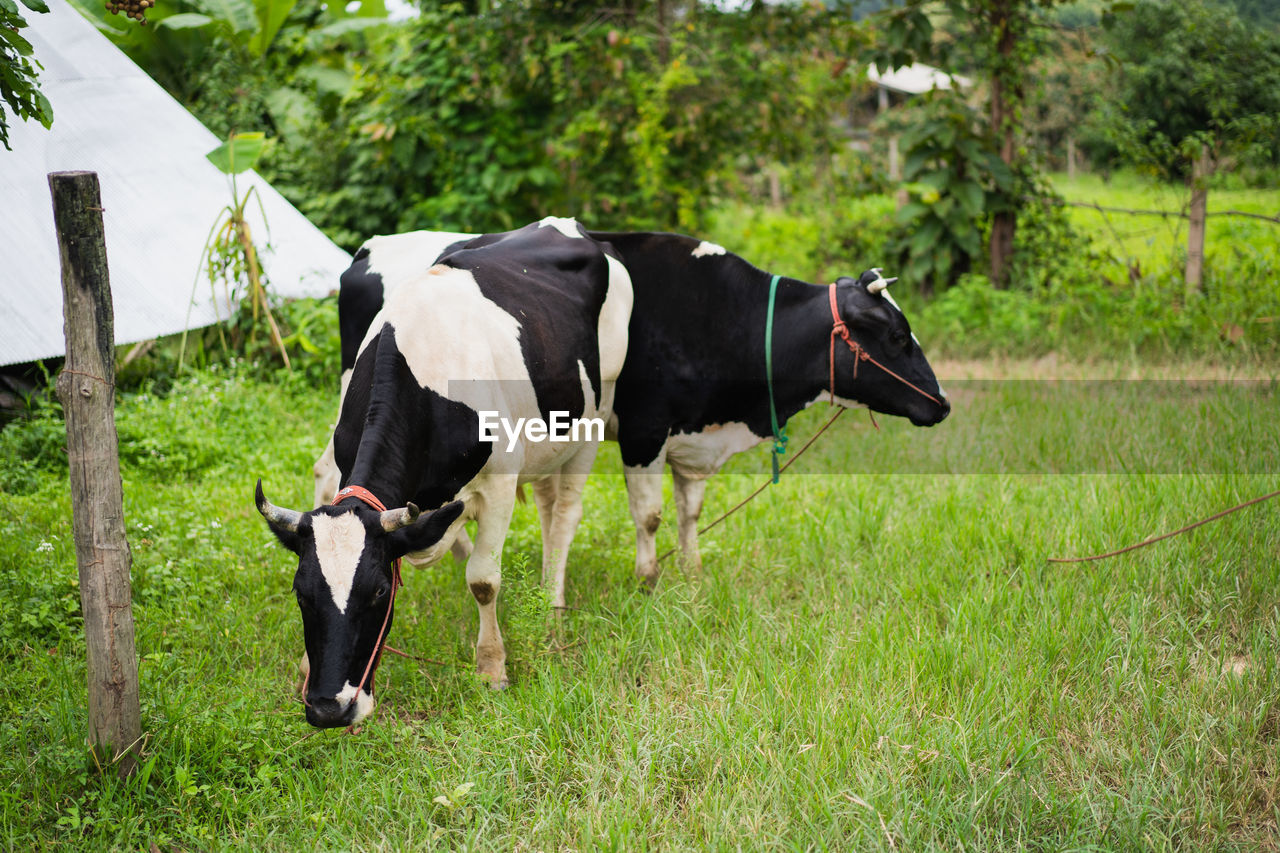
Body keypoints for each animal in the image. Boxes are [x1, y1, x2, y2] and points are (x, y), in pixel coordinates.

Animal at [256, 217, 629, 722]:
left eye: (379, 592)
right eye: (301, 592)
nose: (328, 709)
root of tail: (564, 224)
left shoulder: (499, 485)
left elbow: (483, 579)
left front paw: (491, 667)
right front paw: (303, 664)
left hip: (593, 420)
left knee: (565, 515)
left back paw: (553, 611)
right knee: (548, 506)